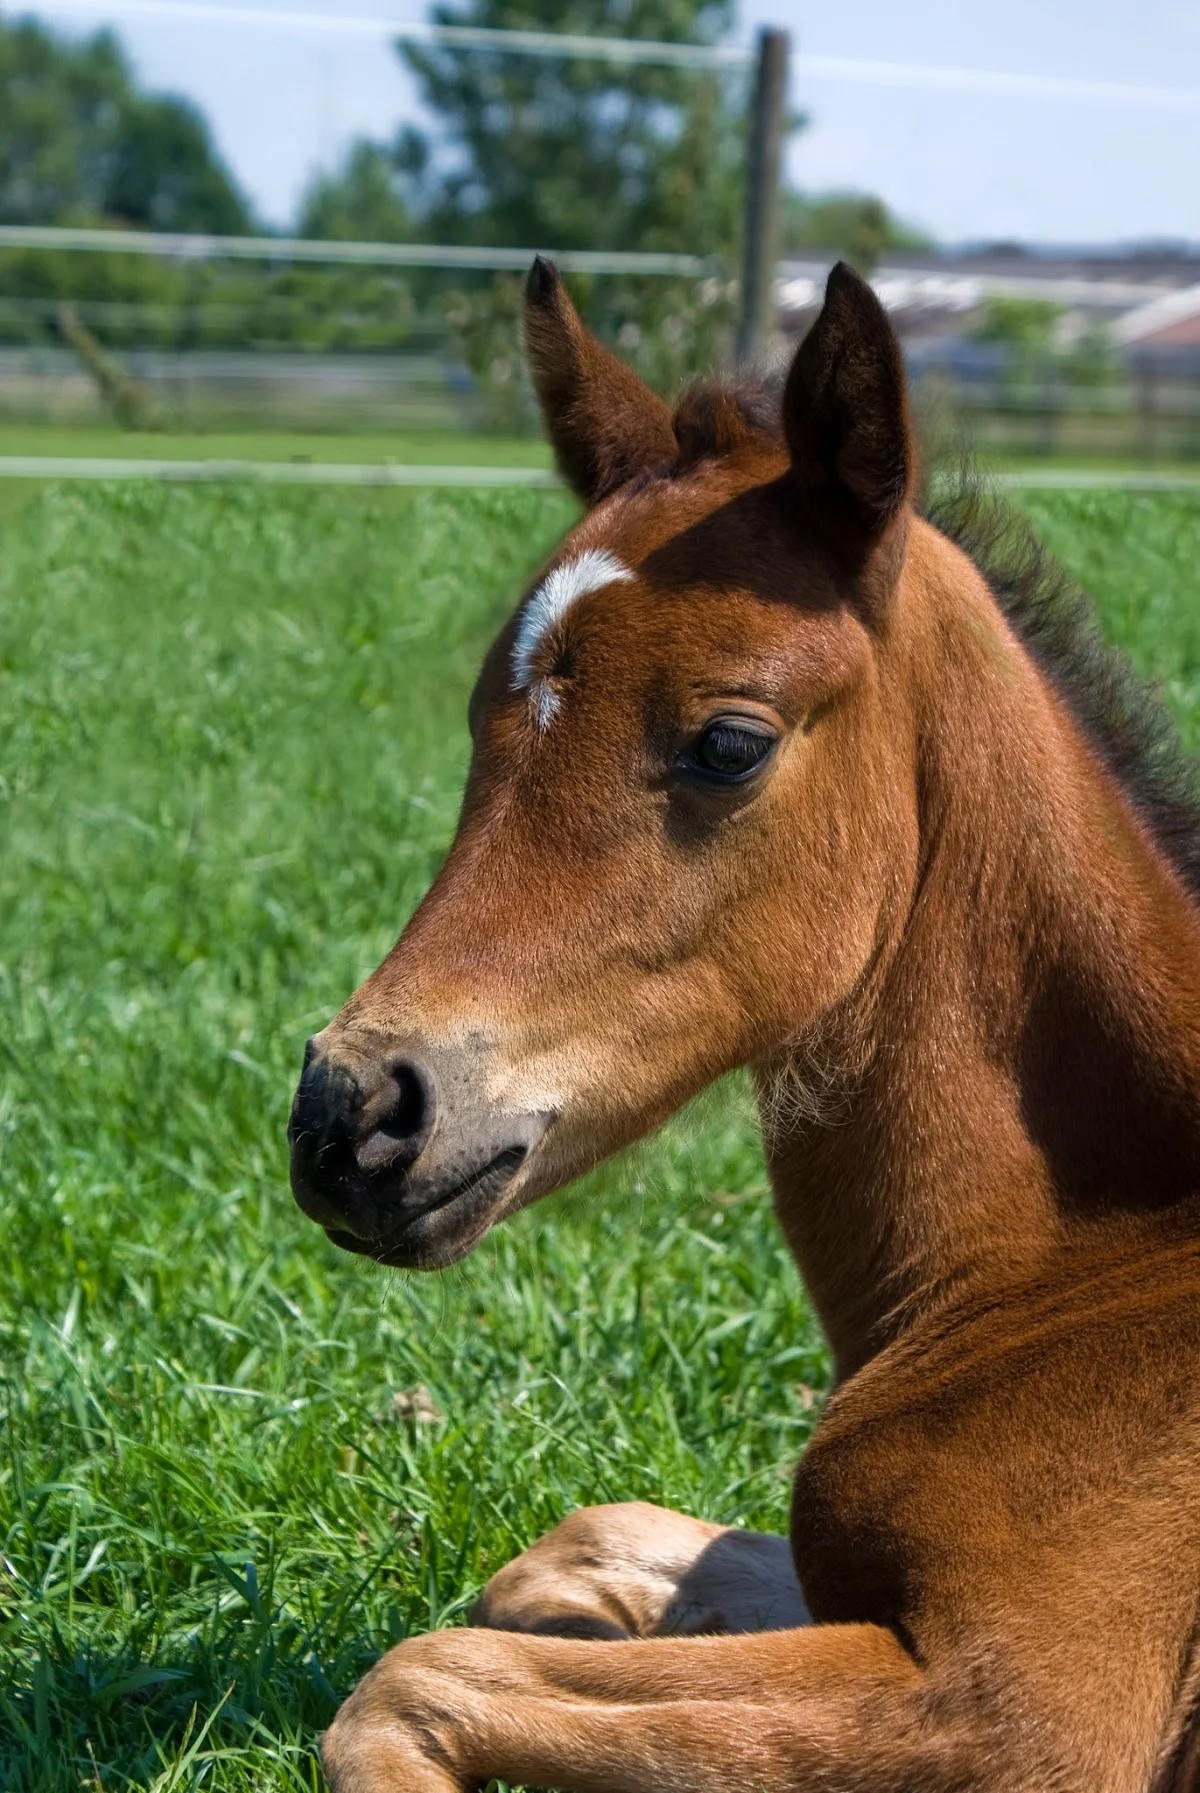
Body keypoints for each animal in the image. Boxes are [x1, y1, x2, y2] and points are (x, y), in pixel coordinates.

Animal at [287, 257, 1200, 1792]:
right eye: (479, 718)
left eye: (729, 743)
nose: (349, 1117)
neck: (1101, 1255)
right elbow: (586, 1545)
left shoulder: (1029, 1711)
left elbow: (413, 1678)